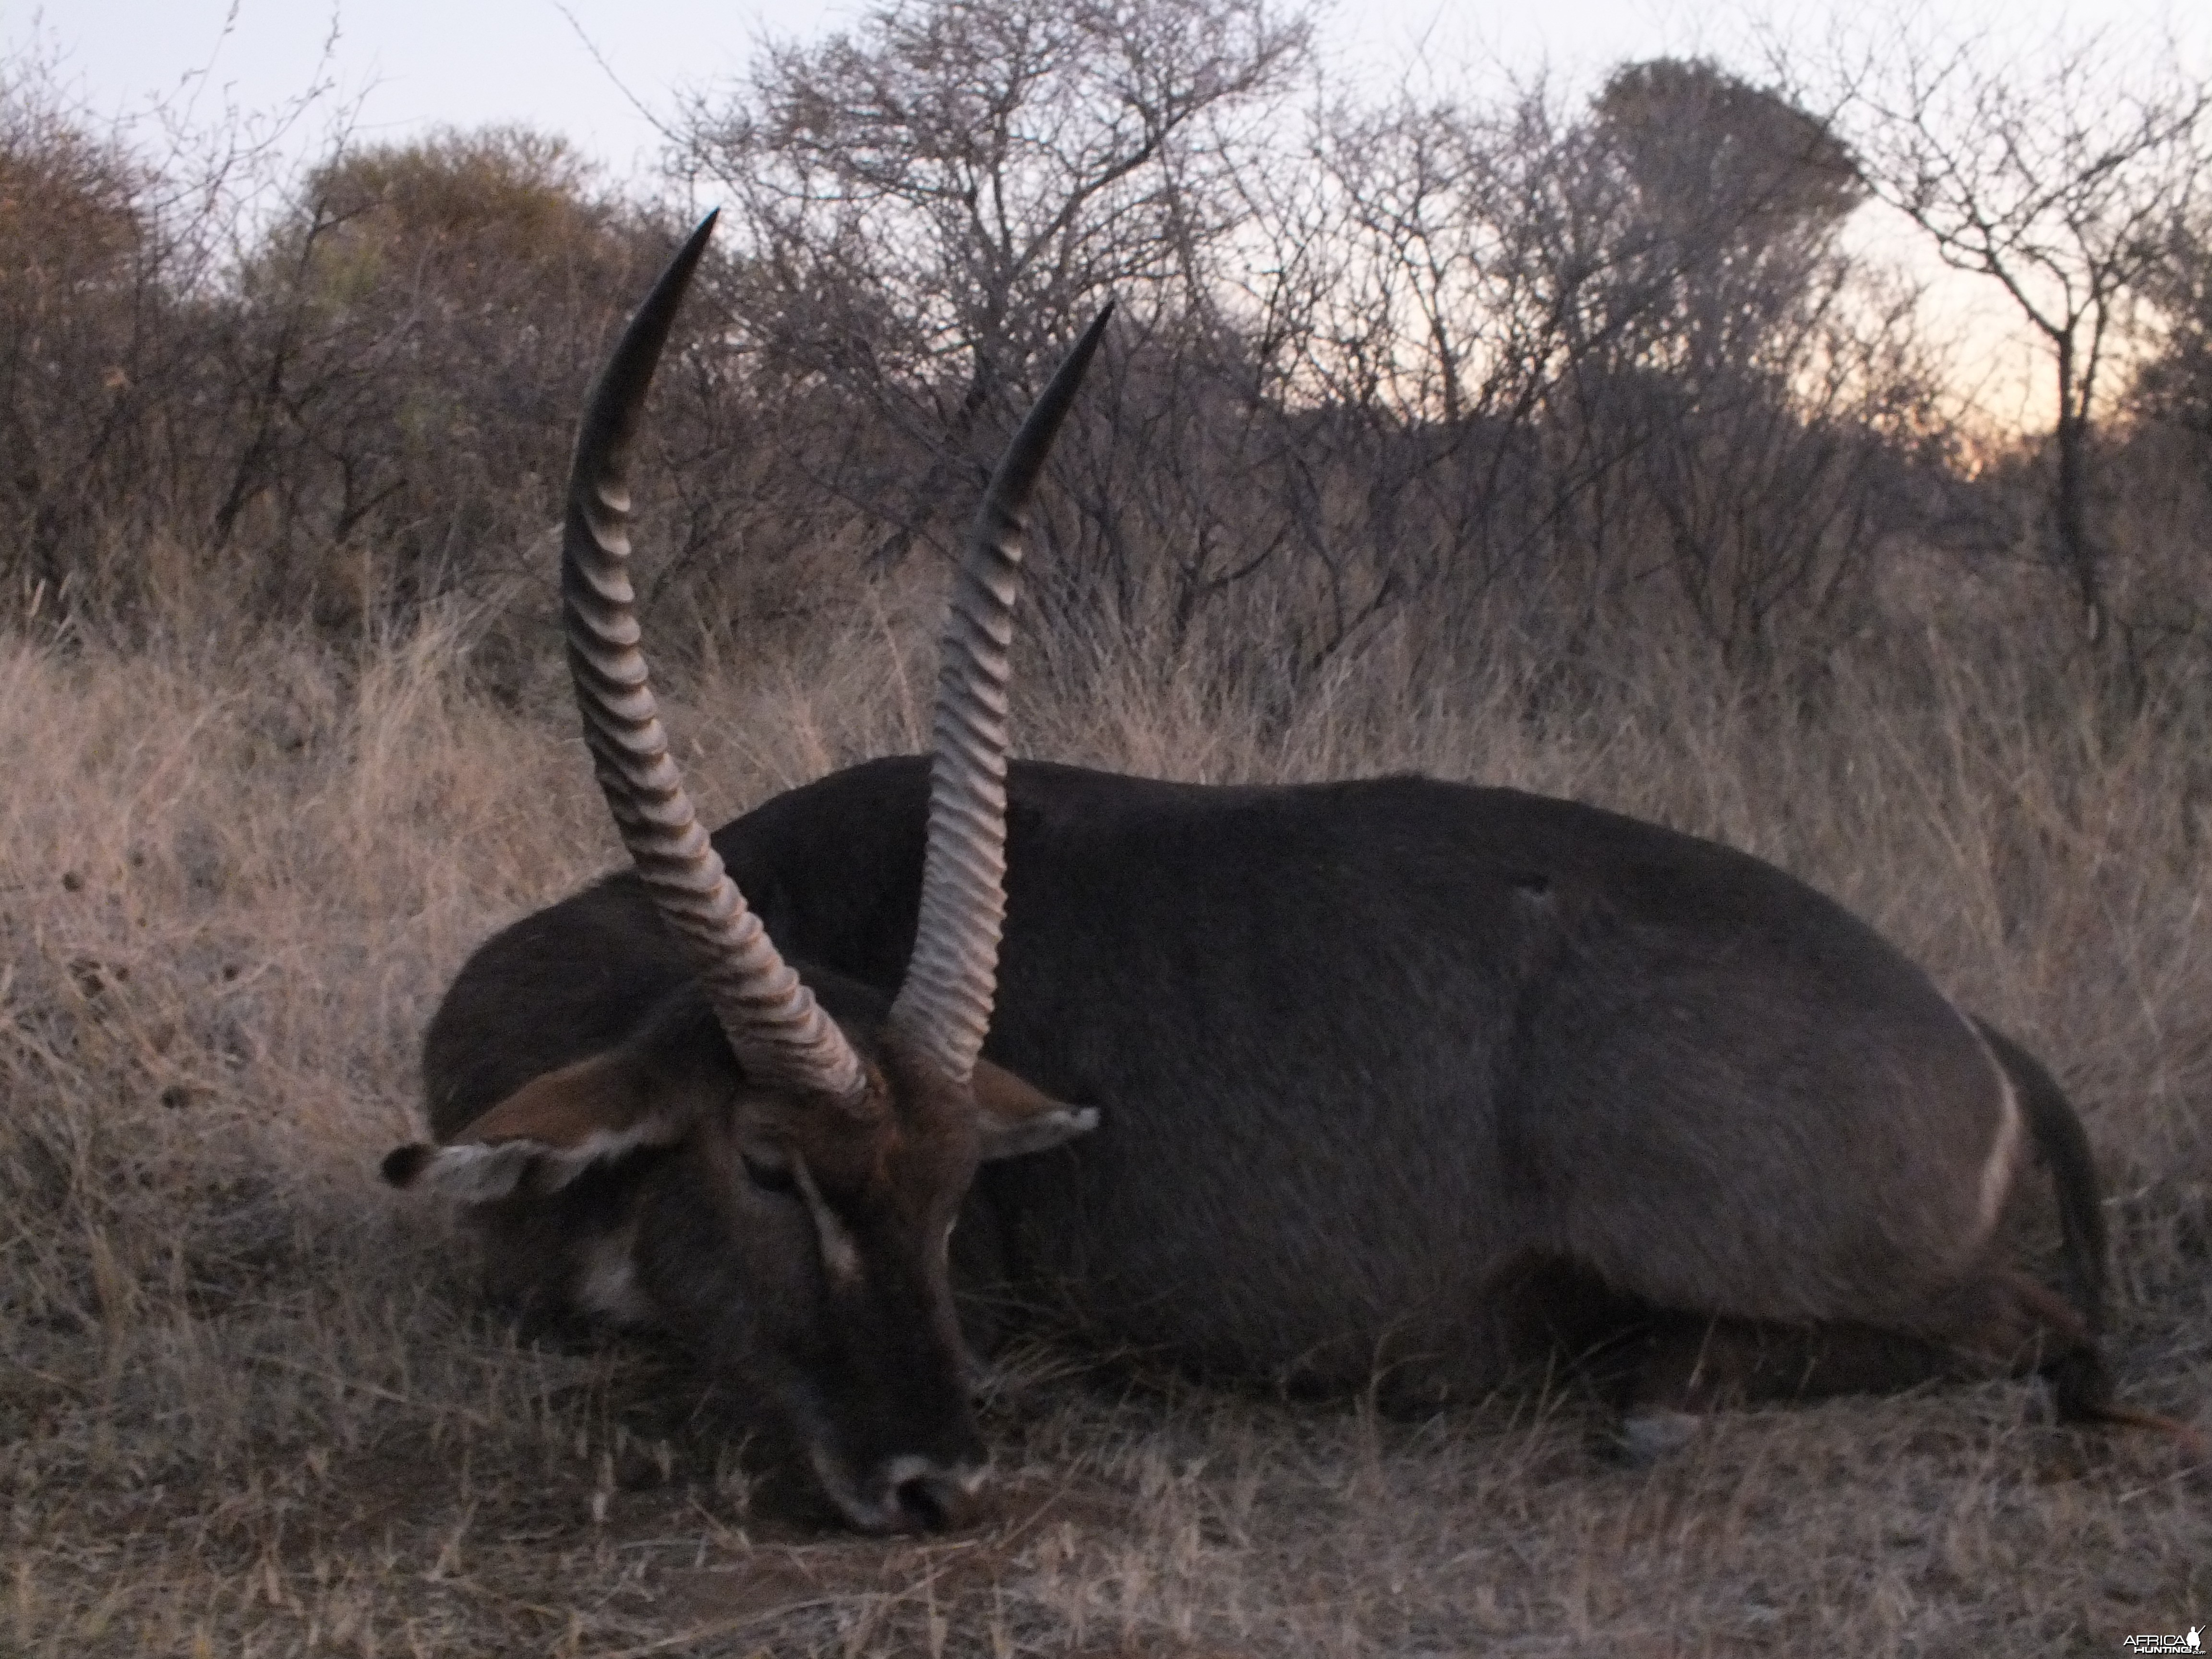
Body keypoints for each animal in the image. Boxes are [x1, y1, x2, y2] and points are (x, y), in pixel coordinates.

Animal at [389, 214, 2185, 1539]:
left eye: (959, 1192)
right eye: (771, 1168)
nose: (939, 1481)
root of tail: (1968, 1030)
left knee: (2035, 1331)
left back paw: (1658, 1400)